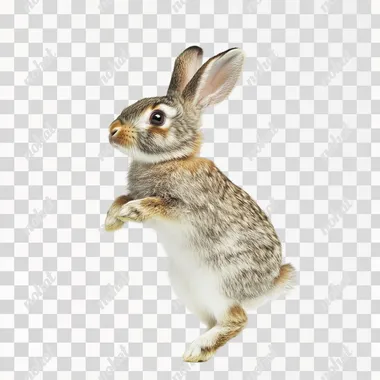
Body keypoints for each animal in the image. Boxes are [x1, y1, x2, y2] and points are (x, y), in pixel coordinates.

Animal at [104, 46, 296, 364]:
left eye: (157, 117)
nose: (112, 130)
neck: (170, 160)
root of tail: (267, 286)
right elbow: (121, 197)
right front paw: (112, 219)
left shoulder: (189, 207)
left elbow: (158, 205)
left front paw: (132, 211)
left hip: (219, 284)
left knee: (237, 319)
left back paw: (197, 349)